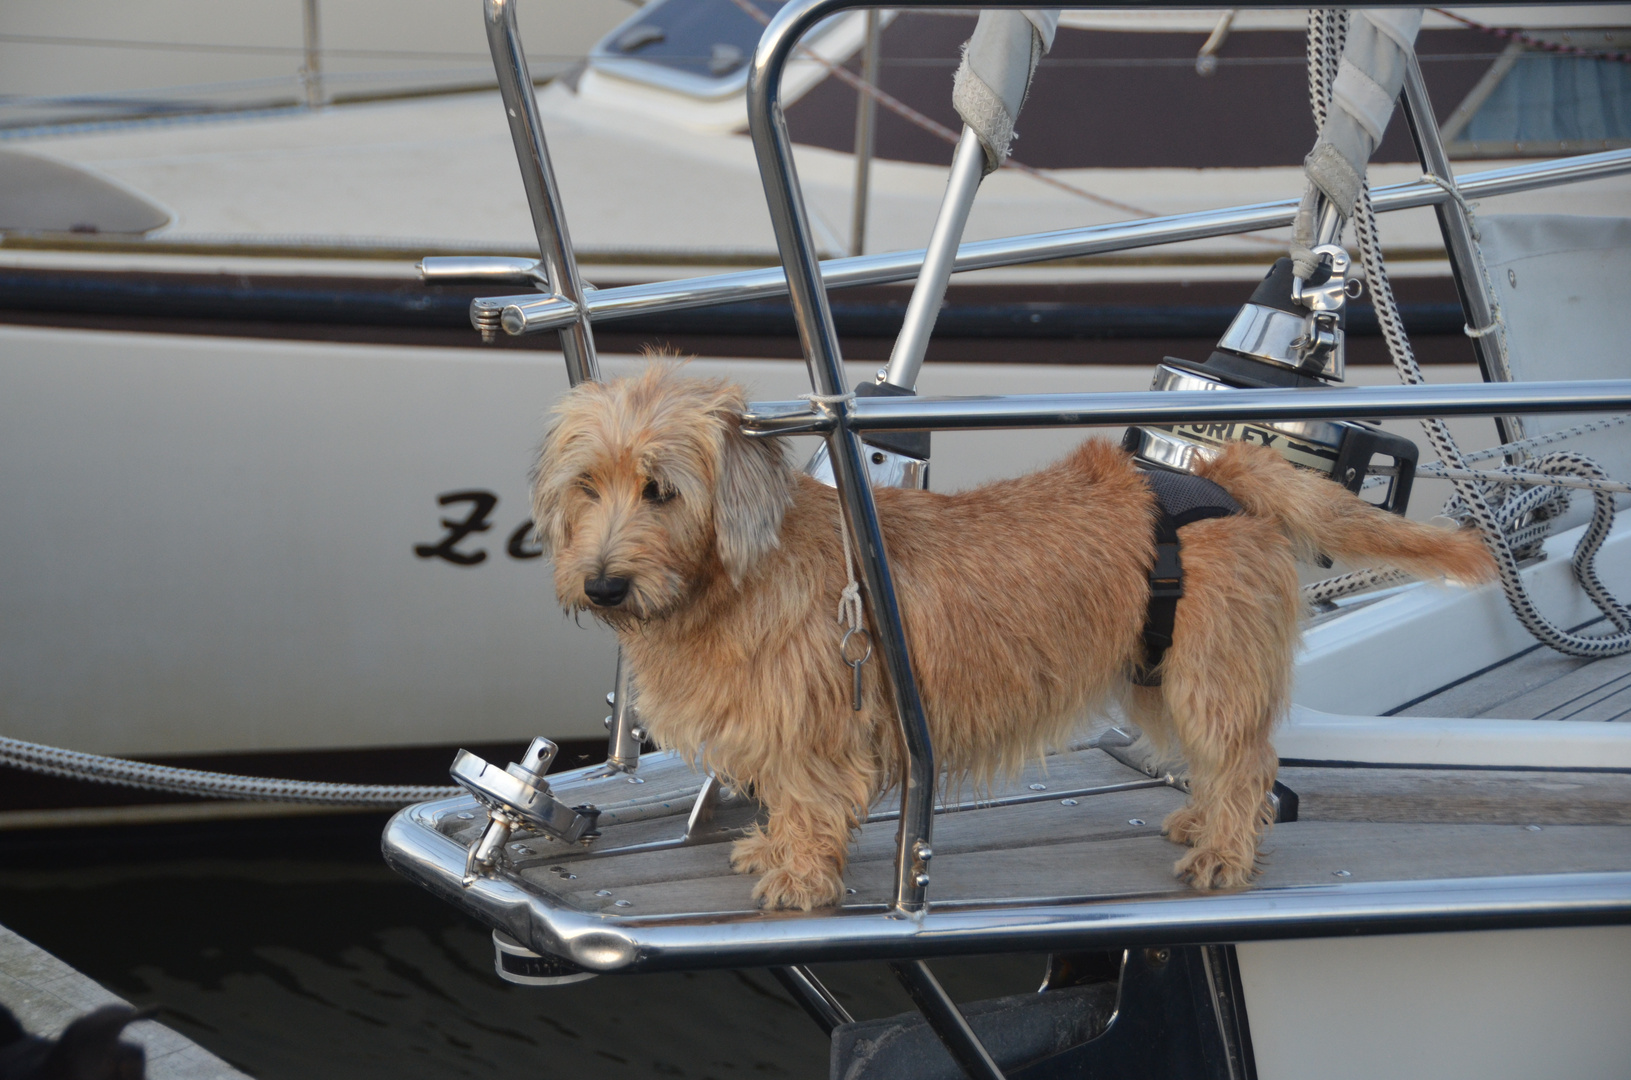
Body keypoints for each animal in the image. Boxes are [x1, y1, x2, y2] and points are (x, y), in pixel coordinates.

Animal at [531, 368, 1493, 907]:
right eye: (587, 486)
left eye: (660, 489)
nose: (602, 584)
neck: (735, 578)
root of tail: (1222, 475)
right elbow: (786, 805)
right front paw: (776, 850)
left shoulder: (816, 735)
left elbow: (808, 804)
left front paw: (799, 880)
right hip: (1155, 676)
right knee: (1223, 767)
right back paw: (1204, 820)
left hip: (1209, 679)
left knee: (1247, 761)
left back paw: (1225, 851)